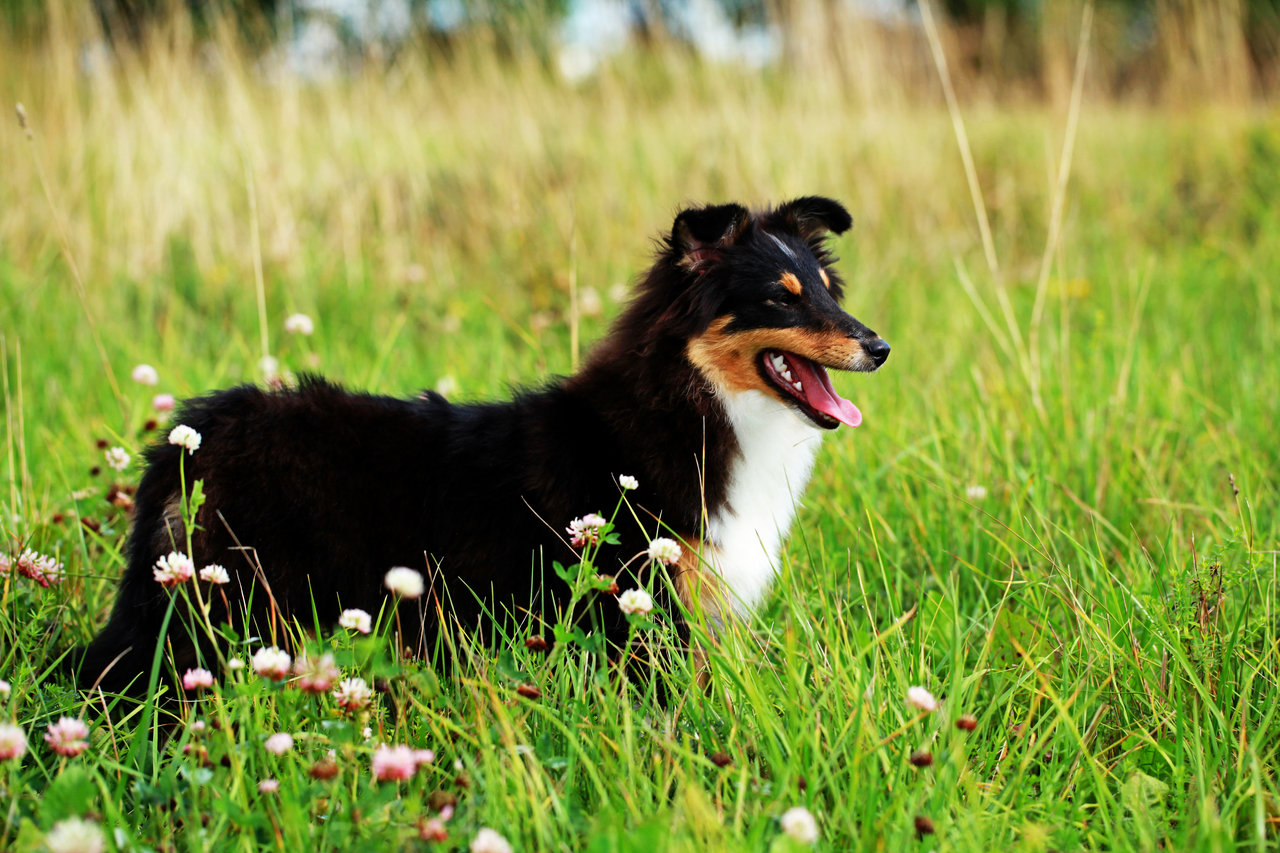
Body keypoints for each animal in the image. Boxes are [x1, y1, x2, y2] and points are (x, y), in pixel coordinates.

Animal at [74, 195, 885, 696]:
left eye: (827, 289)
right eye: (781, 297)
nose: (879, 347)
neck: (694, 405)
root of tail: (192, 433)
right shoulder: (636, 607)